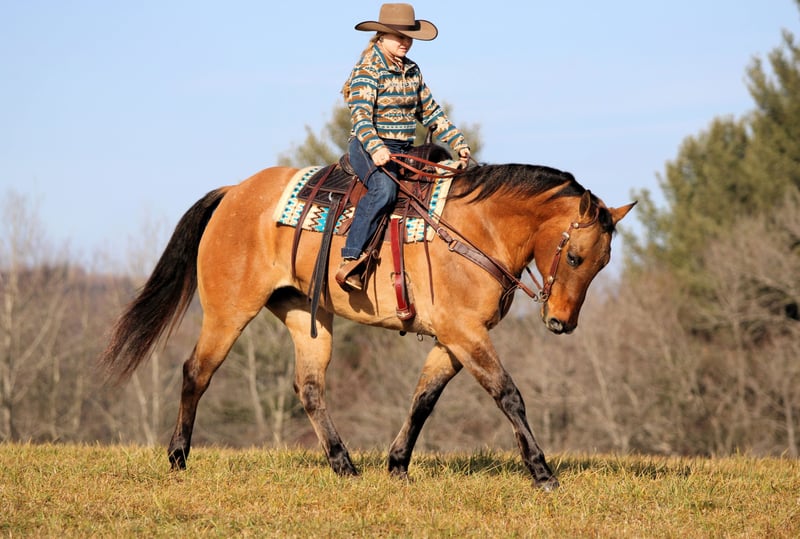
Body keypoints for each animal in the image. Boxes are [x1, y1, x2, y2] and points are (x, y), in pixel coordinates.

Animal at [98, 158, 635, 490]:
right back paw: (178, 457)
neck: (477, 229)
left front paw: (397, 466)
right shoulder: (465, 333)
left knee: (309, 388)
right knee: (196, 372)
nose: (561, 323)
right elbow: (509, 395)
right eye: (575, 255)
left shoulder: (451, 339)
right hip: (229, 312)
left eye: (603, 263)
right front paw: (542, 473)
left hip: (307, 317)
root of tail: (234, 193)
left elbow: (423, 400)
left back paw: (344, 465)